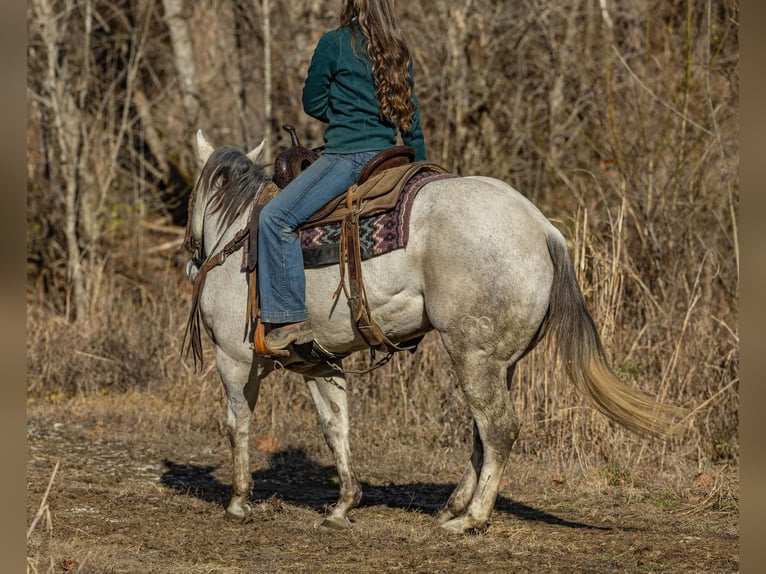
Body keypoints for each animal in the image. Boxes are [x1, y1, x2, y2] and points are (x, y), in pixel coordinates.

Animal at [183, 130, 678, 533]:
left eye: (191, 199)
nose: (192, 260)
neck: (238, 235)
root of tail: (543, 230)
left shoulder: (234, 358)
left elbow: (237, 422)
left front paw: (238, 501)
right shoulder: (319, 363)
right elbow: (335, 425)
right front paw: (343, 506)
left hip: (472, 355)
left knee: (498, 428)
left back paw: (471, 519)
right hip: (498, 363)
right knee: (481, 433)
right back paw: (452, 507)